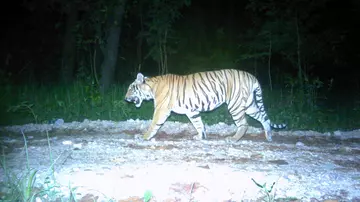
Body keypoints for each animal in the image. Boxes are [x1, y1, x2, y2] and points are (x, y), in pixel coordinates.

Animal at [125, 69, 286, 142]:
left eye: (131, 88)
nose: (125, 98)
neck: (152, 87)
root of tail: (251, 76)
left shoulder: (161, 109)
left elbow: (153, 124)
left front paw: (144, 136)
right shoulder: (191, 111)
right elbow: (198, 123)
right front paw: (200, 136)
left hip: (235, 105)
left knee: (244, 124)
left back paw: (233, 138)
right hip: (249, 105)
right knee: (264, 118)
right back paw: (269, 136)